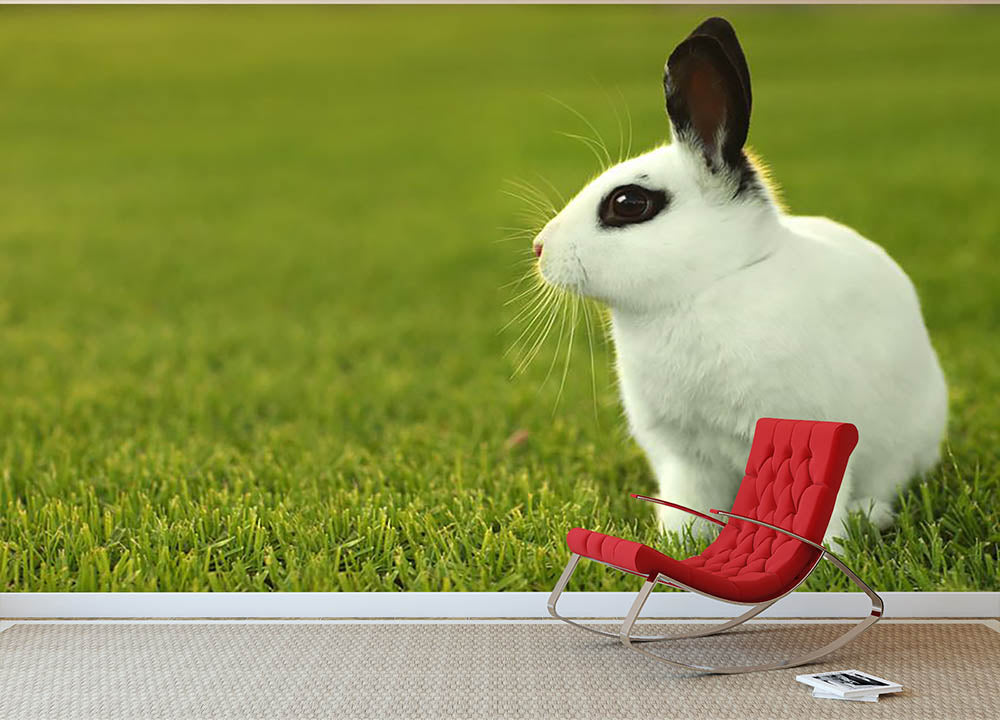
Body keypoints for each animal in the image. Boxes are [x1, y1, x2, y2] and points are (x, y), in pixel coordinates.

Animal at [531, 17, 947, 542]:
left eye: (628, 203)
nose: (539, 249)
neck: (711, 285)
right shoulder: (683, 455)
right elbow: (685, 506)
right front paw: (677, 543)